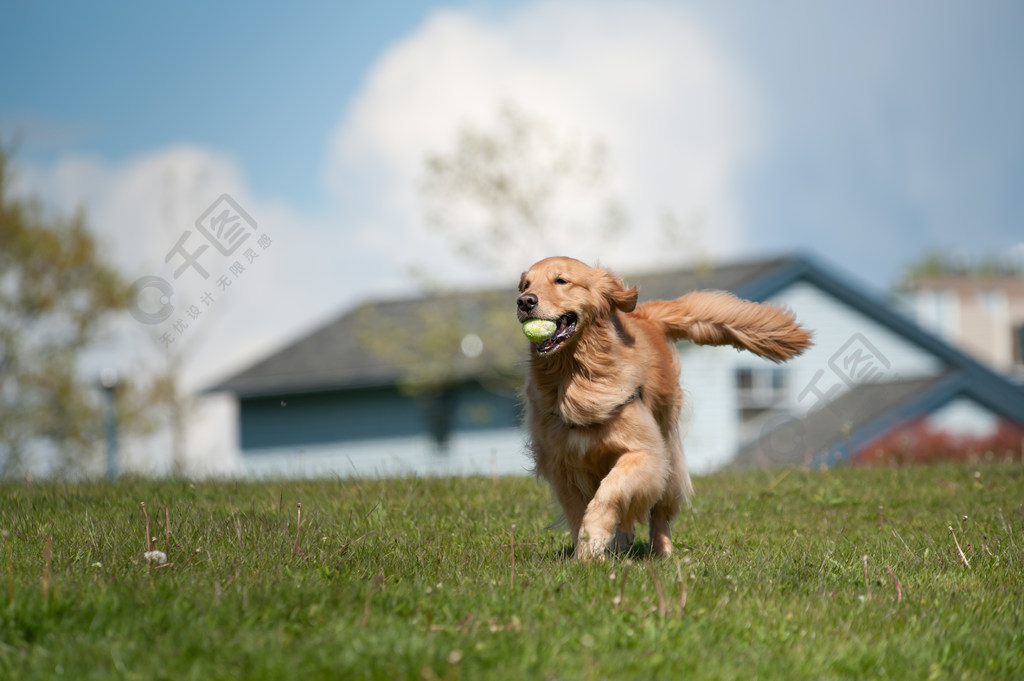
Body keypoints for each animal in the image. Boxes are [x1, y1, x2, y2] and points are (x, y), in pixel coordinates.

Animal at [516, 256, 811, 557]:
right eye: (526, 285)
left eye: (561, 280)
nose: (525, 301)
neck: (576, 376)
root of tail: (646, 314)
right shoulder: (561, 464)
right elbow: (577, 510)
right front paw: (587, 549)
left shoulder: (645, 453)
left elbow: (610, 493)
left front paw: (594, 538)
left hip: (668, 453)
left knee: (659, 511)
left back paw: (662, 551)